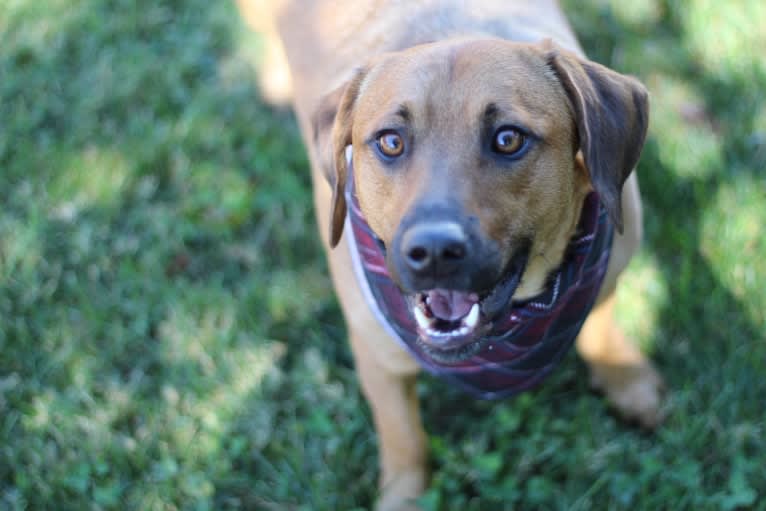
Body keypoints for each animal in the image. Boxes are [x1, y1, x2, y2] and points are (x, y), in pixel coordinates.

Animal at [240, 2, 664, 510]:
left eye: (508, 139)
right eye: (391, 141)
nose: (434, 252)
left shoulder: (609, 260)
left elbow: (599, 316)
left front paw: (624, 377)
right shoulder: (377, 354)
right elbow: (403, 438)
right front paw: (404, 497)